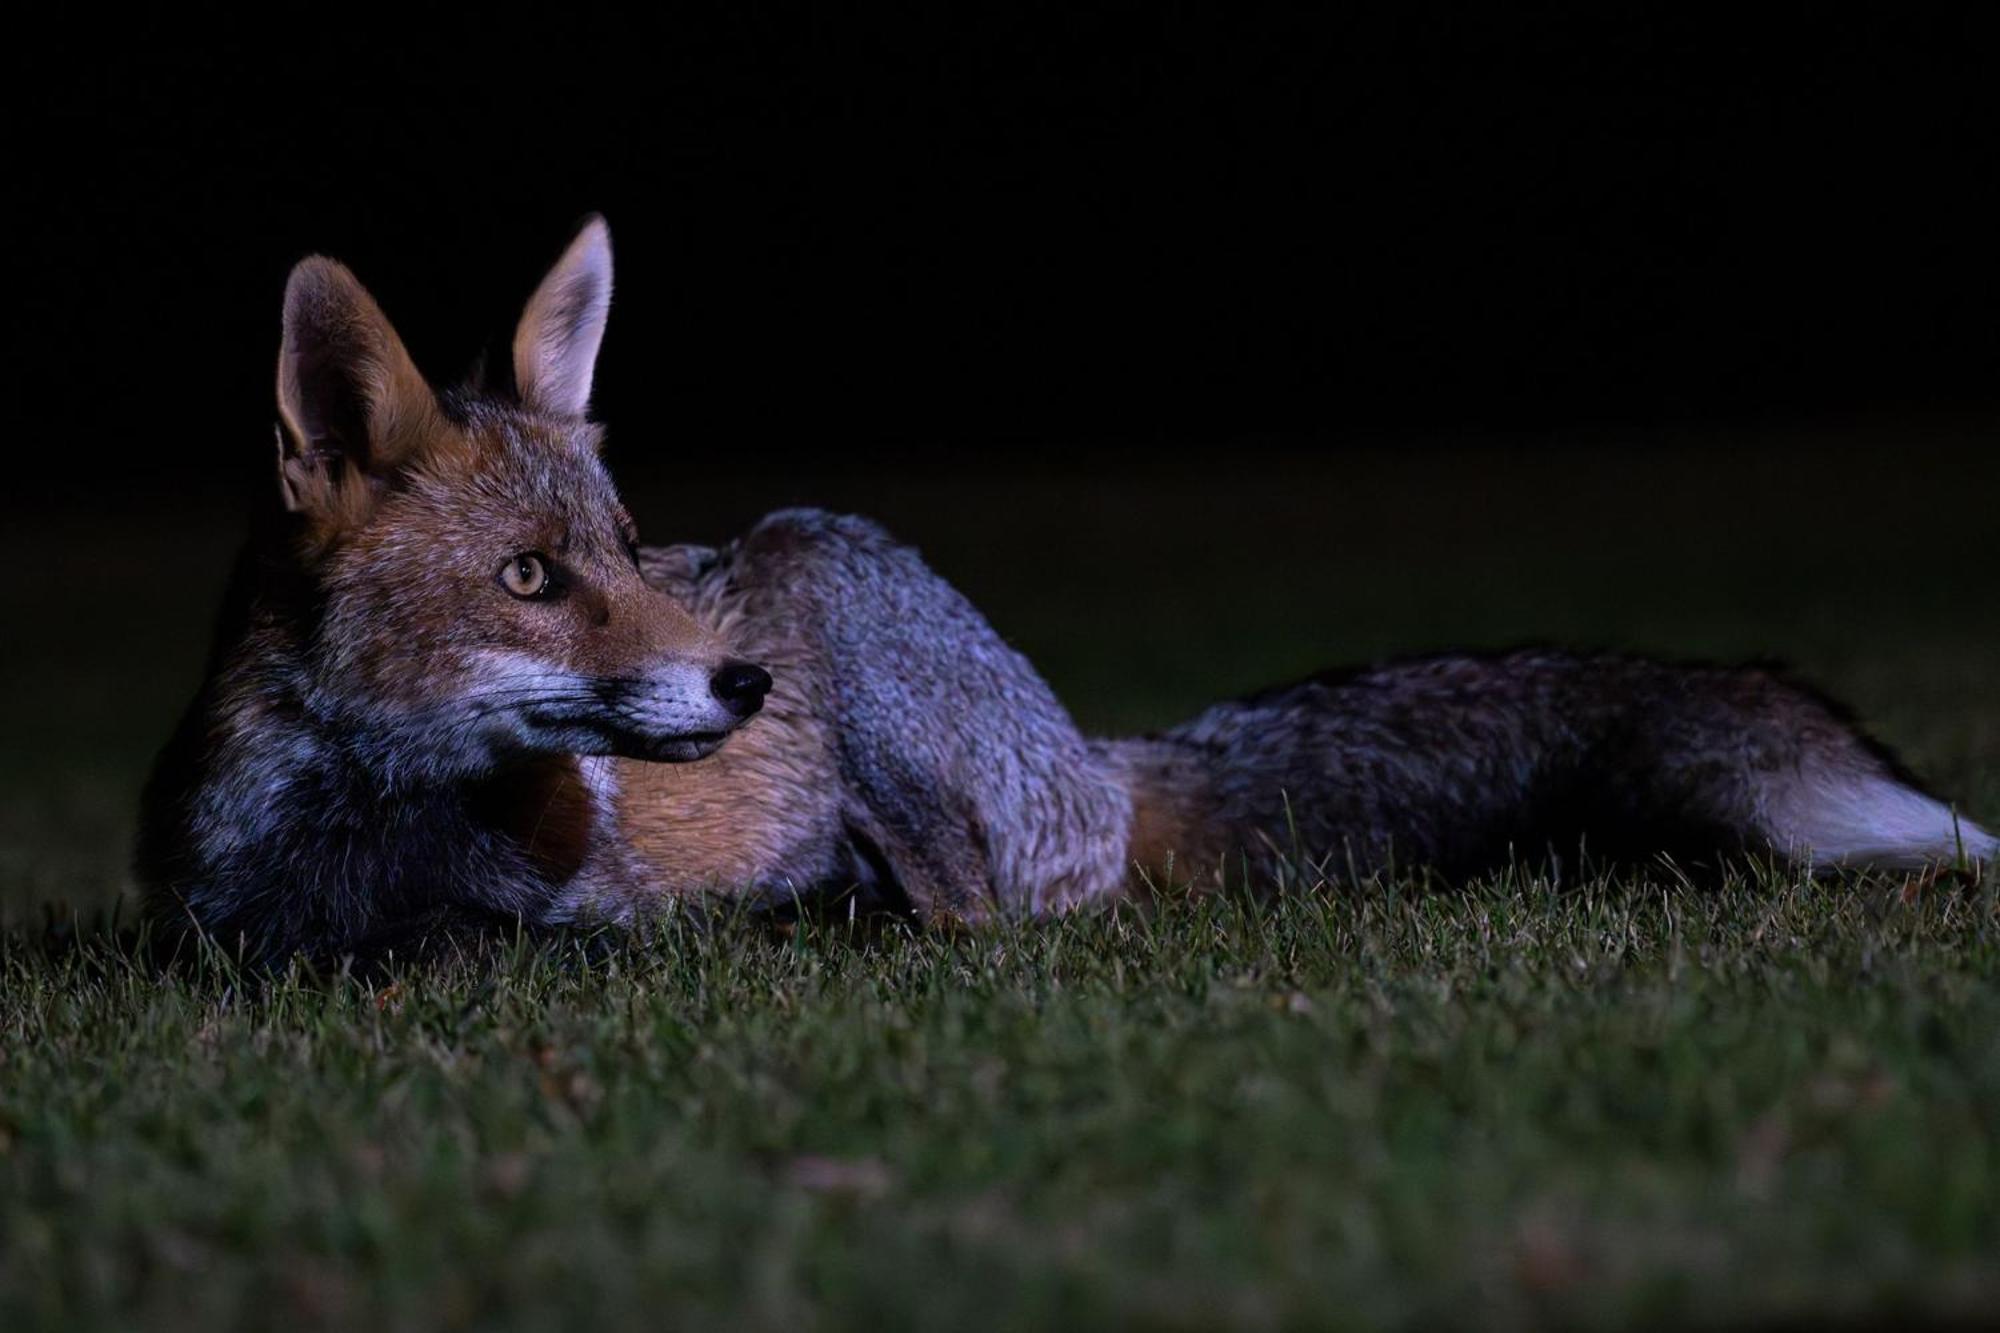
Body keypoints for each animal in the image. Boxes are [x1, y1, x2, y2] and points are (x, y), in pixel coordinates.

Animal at [137, 215, 1984, 956]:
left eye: (625, 550)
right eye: (529, 577)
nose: (739, 685)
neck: (368, 853)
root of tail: (1092, 748)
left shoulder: (592, 913)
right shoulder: (221, 933)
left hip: (824, 576)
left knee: (991, 914)